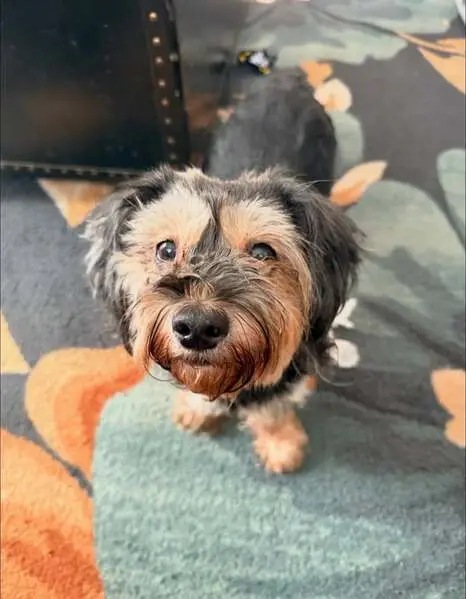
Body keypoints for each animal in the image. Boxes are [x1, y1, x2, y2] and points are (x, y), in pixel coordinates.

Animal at [84, 68, 361, 473]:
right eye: (166, 249)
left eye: (262, 251)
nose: (197, 327)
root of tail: (285, 78)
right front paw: (198, 409)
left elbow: (272, 401)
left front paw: (281, 443)